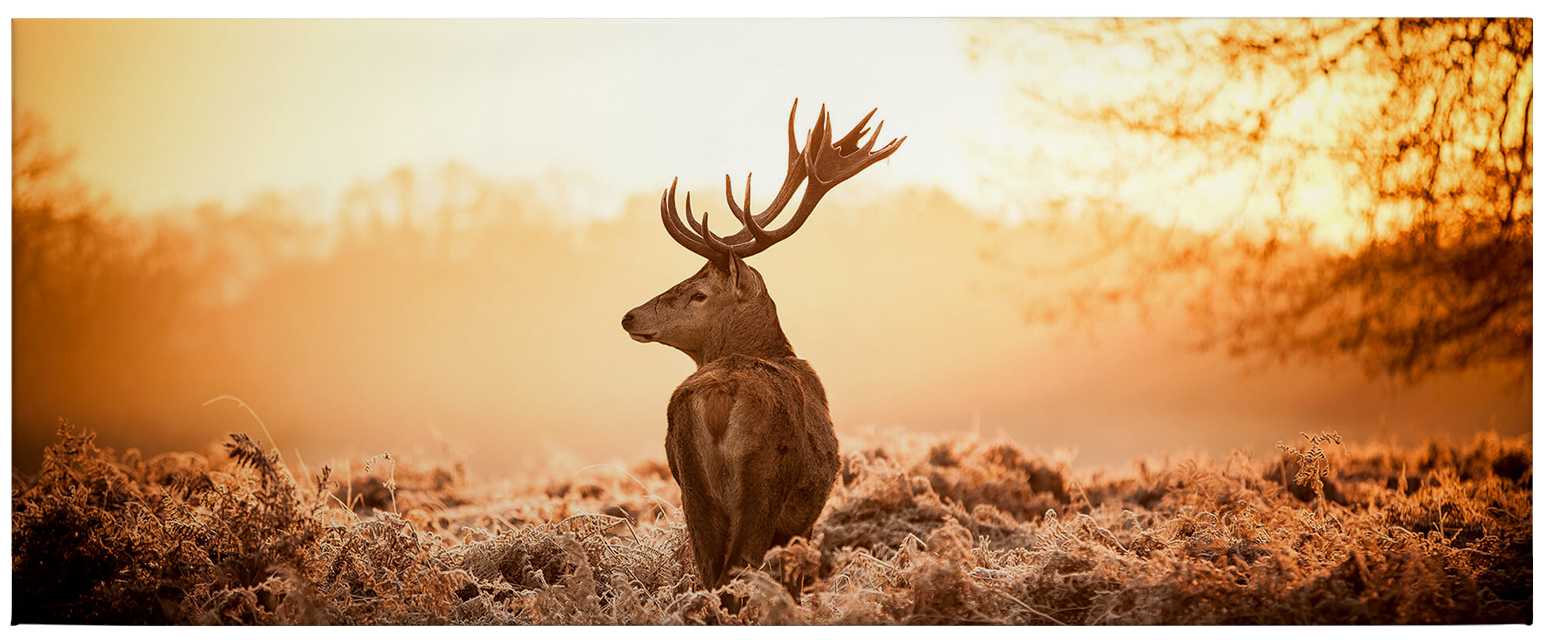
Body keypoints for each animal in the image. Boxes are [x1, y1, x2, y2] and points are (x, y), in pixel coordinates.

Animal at [621, 99, 904, 589]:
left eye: (698, 292)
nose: (630, 316)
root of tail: (718, 397)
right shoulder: (803, 518)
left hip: (691, 487)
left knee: (710, 571)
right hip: (764, 482)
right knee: (739, 567)